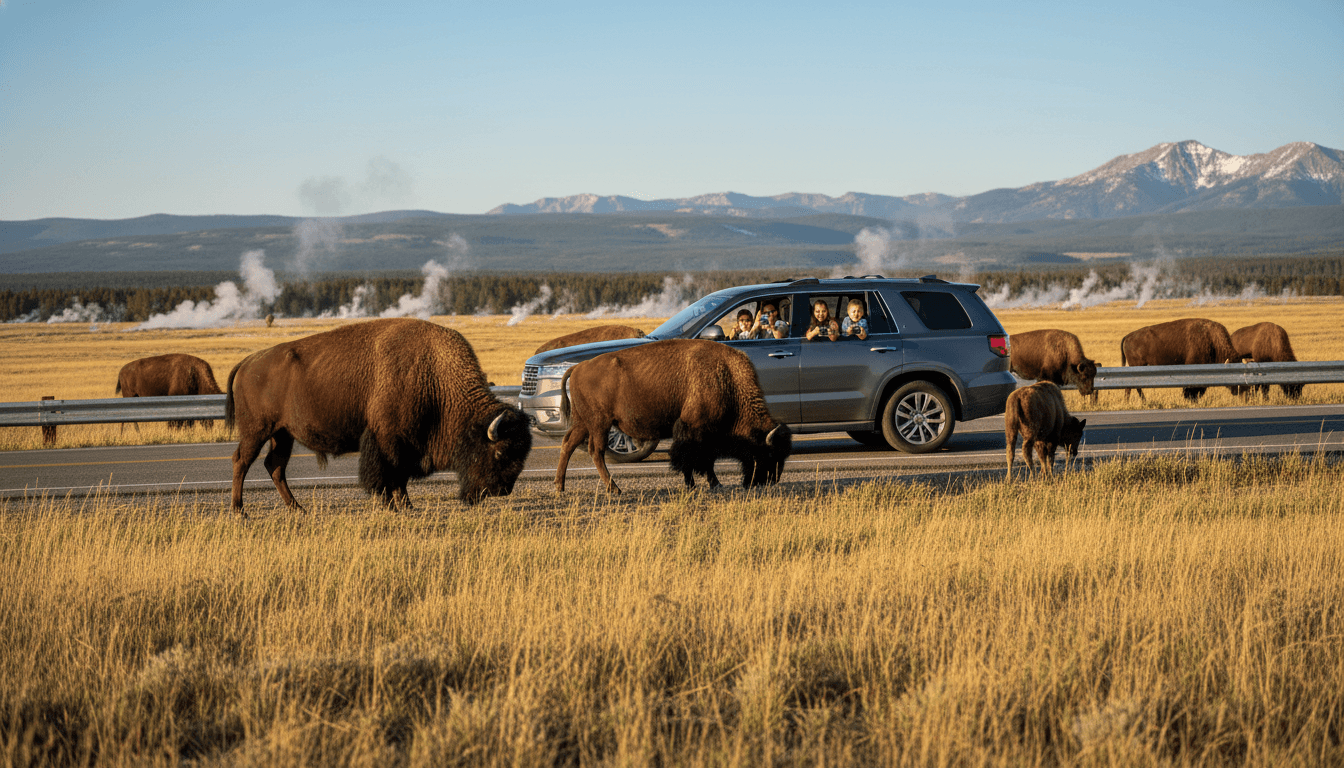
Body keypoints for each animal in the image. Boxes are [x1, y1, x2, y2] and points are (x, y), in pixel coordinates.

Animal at [225, 318, 531, 517]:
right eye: (500, 452)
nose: (501, 490)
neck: (435, 376)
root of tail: (248, 362)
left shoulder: (408, 443)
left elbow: (401, 476)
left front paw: (406, 505)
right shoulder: (389, 439)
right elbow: (390, 473)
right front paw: (395, 506)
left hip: (282, 433)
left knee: (275, 466)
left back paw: (298, 509)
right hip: (257, 430)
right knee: (242, 461)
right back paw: (239, 511)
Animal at [555, 339, 791, 493]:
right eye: (769, 453)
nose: (770, 480)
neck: (726, 378)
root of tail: (579, 367)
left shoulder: (706, 435)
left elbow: (704, 459)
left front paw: (709, 483)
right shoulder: (696, 429)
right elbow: (696, 458)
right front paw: (700, 484)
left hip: (583, 422)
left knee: (568, 444)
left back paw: (560, 486)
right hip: (599, 423)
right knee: (596, 451)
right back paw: (614, 488)